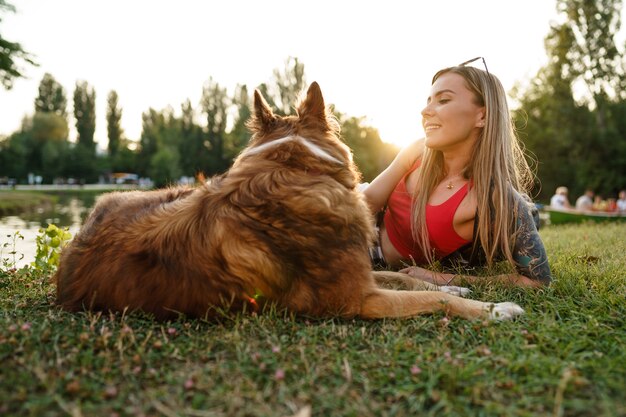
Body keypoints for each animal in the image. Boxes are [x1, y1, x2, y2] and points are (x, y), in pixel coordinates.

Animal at [53, 82, 520, 322]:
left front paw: (452, 282)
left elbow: (404, 277)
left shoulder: (360, 274)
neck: (297, 168)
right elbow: (433, 300)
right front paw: (496, 308)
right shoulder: (357, 300)